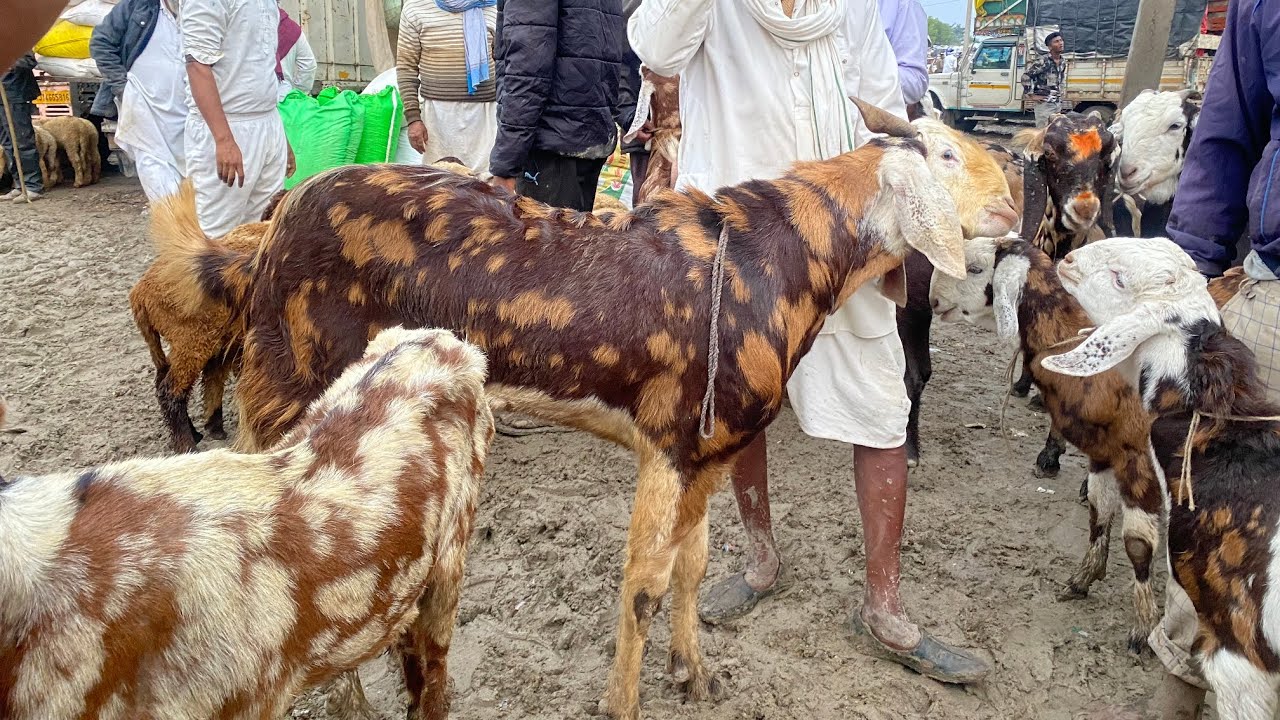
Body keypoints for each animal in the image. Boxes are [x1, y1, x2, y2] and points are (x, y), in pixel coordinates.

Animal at [130, 181, 268, 453]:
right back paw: (187, 445)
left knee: (181, 379)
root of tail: (139, 293)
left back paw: (206, 431)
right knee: (171, 389)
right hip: (192, 340)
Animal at [156, 99, 1016, 720]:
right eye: (943, 156)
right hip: (291, 381)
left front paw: (694, 673)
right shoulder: (667, 440)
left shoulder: (708, 446)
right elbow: (642, 583)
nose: (1012, 205)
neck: (774, 262)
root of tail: (273, 225)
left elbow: (692, 565)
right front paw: (621, 702)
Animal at [930, 235, 1163, 652]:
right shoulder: (1104, 455)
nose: (933, 302)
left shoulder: (1139, 463)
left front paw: (1143, 628)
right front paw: (1084, 579)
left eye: (975, 268)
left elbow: (1137, 544)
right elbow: (1099, 514)